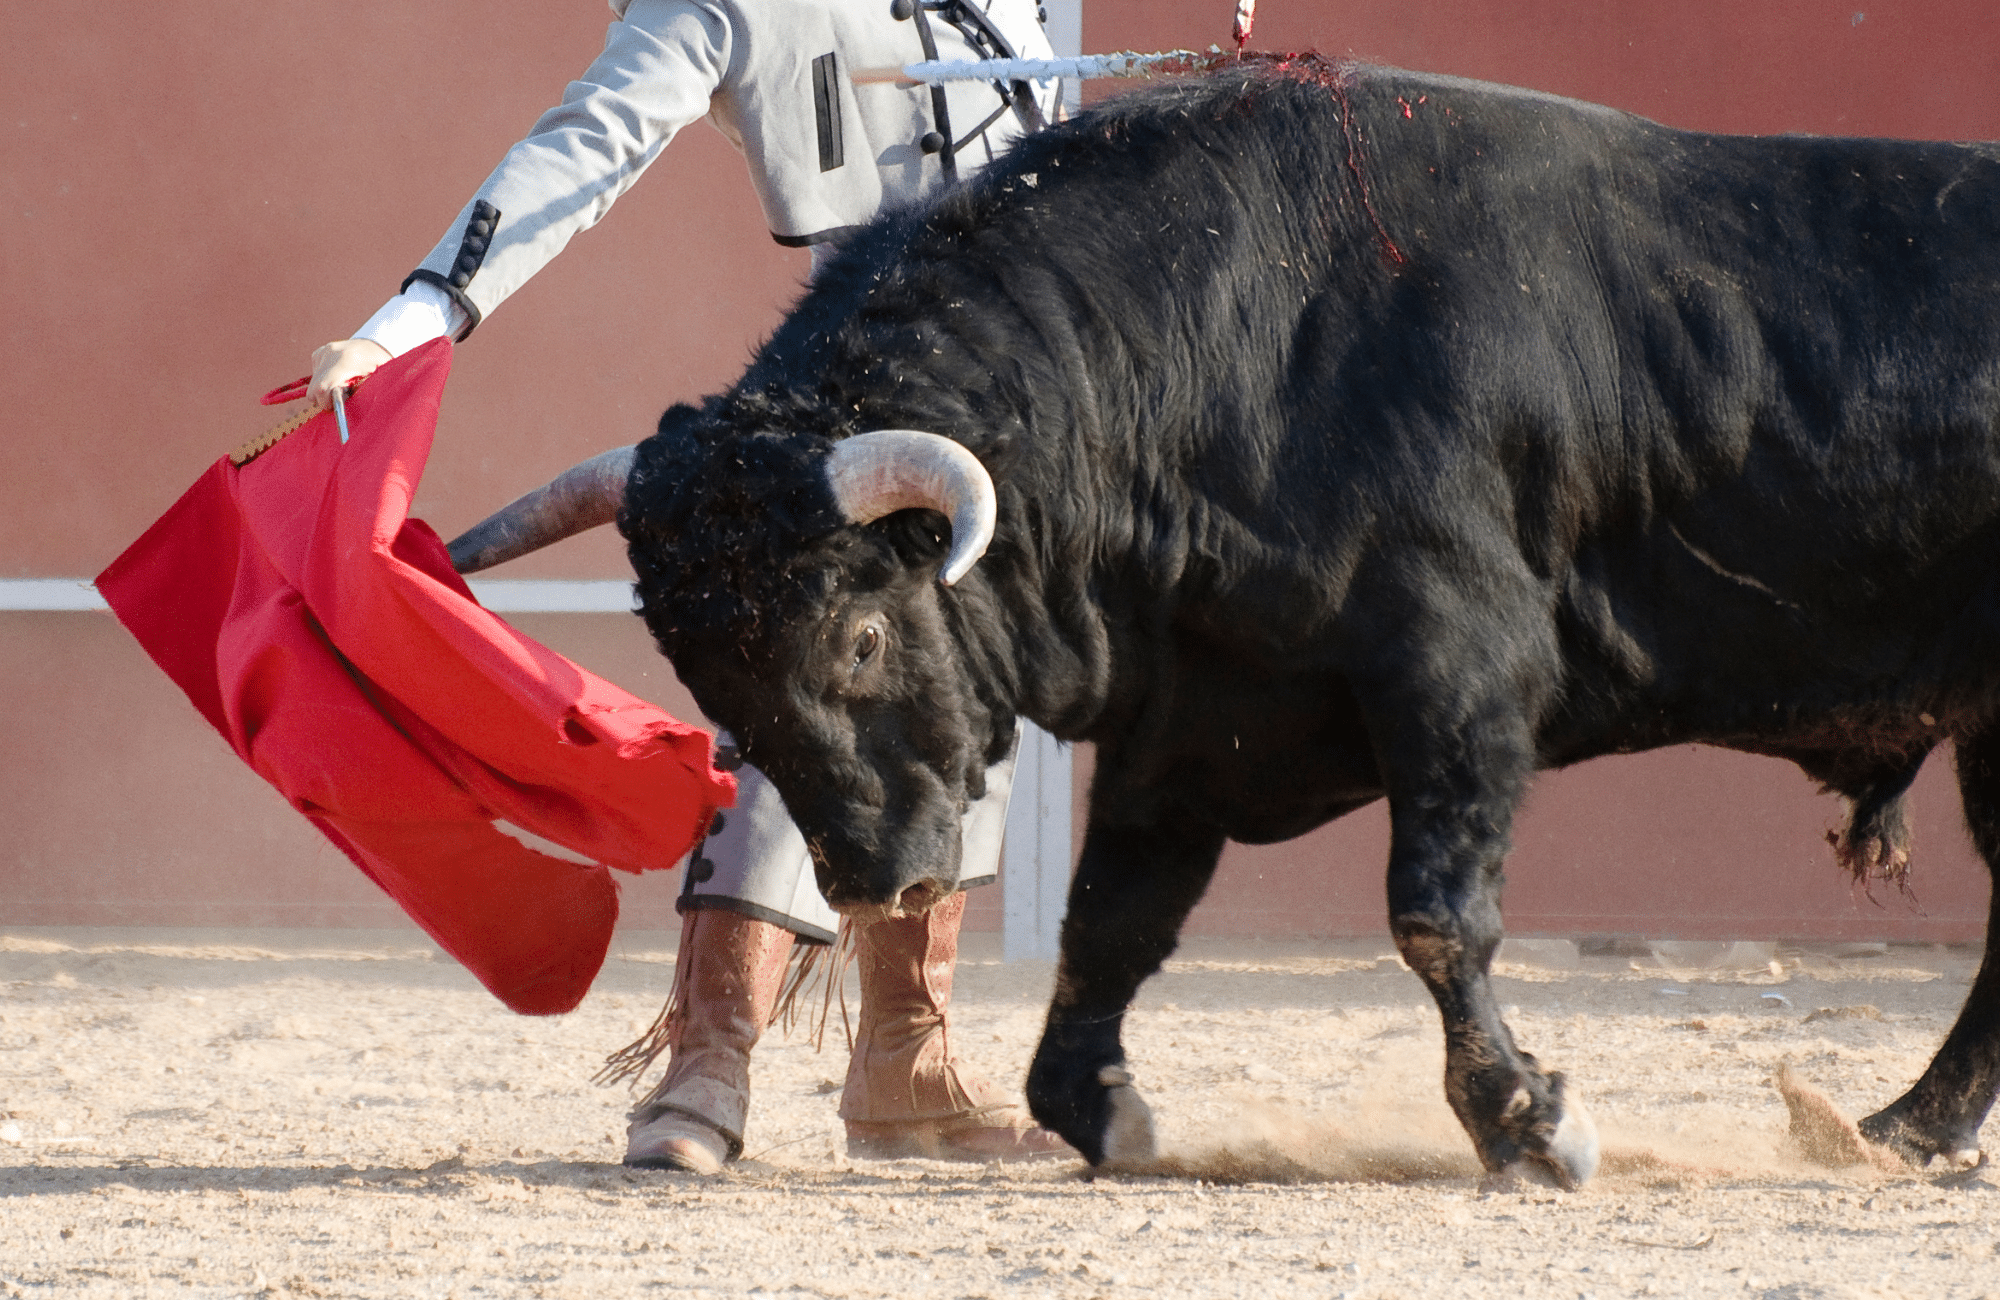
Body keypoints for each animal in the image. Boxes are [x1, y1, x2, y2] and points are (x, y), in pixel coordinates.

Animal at [449, 55, 2000, 1187]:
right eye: (701, 674)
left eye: (863, 639)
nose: (878, 878)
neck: (1235, 352)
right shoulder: (1190, 717)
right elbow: (1107, 923)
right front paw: (1105, 1113)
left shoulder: (1458, 674)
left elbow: (1436, 913)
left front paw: (1529, 1123)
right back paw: (1896, 1130)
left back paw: (1894, 1128)